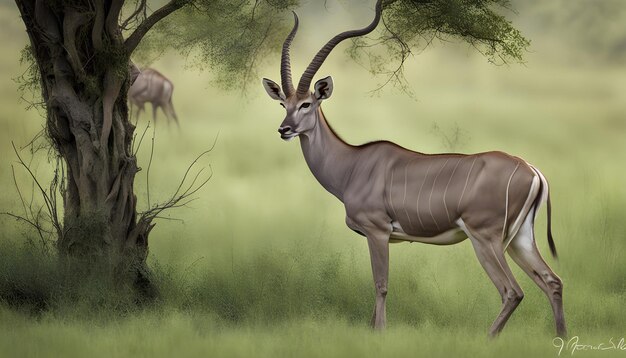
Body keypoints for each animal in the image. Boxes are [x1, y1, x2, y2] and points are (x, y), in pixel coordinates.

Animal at [260, 0, 564, 338]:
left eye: (306, 104)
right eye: (283, 103)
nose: (284, 129)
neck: (352, 164)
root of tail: (531, 169)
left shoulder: (378, 232)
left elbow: (380, 285)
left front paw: (381, 333)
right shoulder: (375, 237)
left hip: (486, 239)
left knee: (512, 291)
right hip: (520, 240)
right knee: (552, 282)